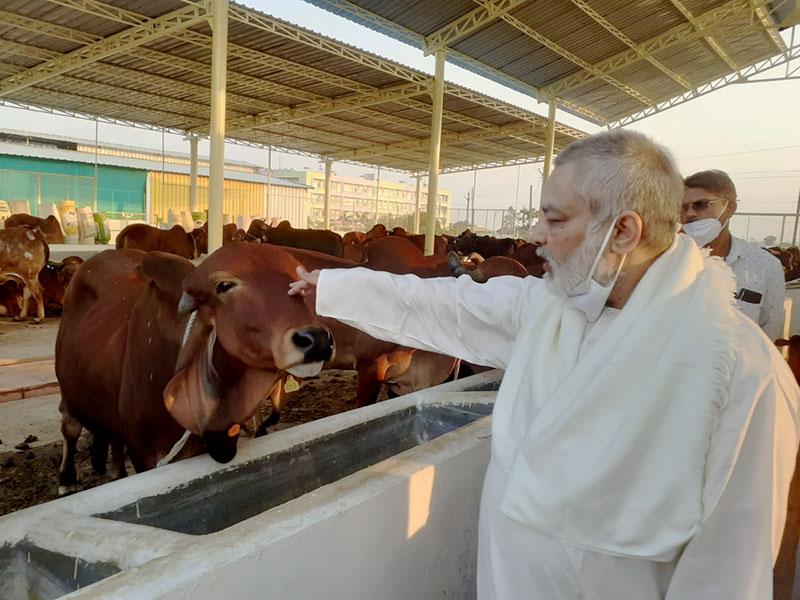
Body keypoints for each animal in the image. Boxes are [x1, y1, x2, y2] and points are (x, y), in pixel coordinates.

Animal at [55, 245, 332, 492]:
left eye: (299, 281)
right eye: (224, 285)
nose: (316, 339)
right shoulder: (143, 451)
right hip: (67, 391)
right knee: (70, 426)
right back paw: (66, 479)